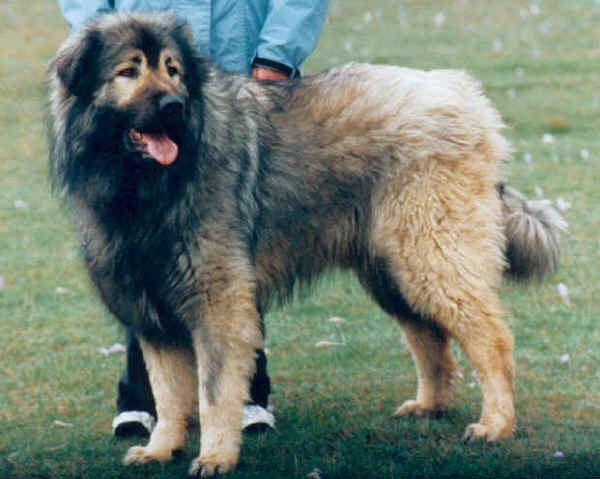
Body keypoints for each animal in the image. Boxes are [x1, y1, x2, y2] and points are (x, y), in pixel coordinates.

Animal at [48, 13, 568, 478]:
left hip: (430, 254)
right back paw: (430, 405)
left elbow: (213, 393)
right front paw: (161, 448)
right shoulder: (151, 310)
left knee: (491, 339)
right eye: (129, 71)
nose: (174, 105)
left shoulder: (218, 304)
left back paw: (495, 424)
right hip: (391, 271)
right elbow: (169, 394)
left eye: (172, 69)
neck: (150, 184)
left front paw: (215, 456)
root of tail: (462, 93)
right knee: (430, 338)